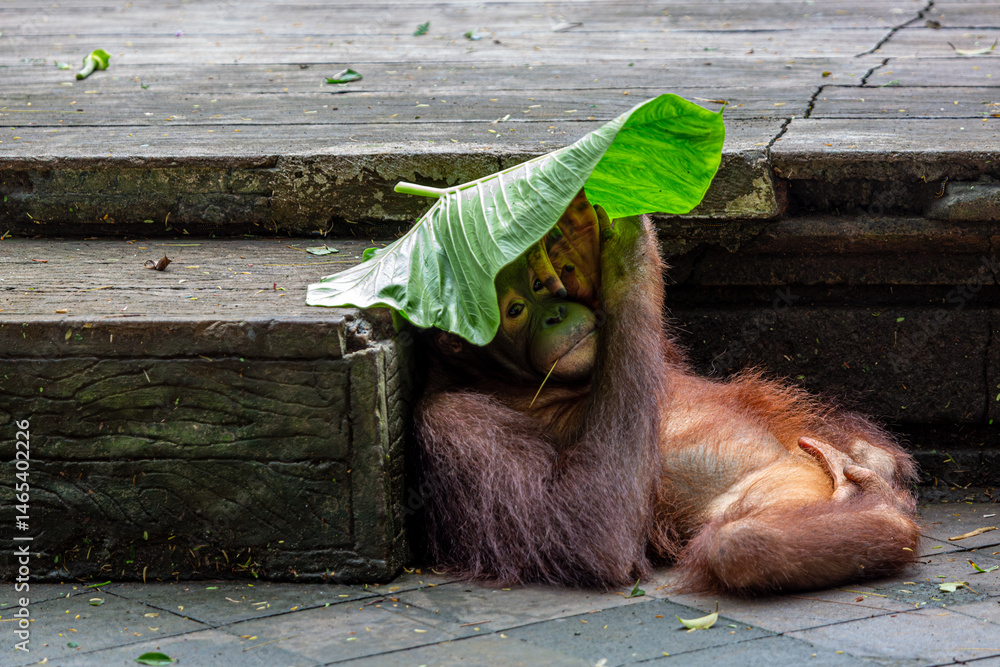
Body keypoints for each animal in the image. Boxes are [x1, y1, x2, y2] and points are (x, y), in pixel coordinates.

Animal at [413, 190, 919, 594]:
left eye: (540, 283)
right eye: (515, 310)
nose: (556, 312)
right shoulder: (451, 422)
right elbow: (581, 530)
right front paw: (627, 256)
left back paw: (875, 474)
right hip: (780, 487)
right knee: (742, 545)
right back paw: (882, 509)